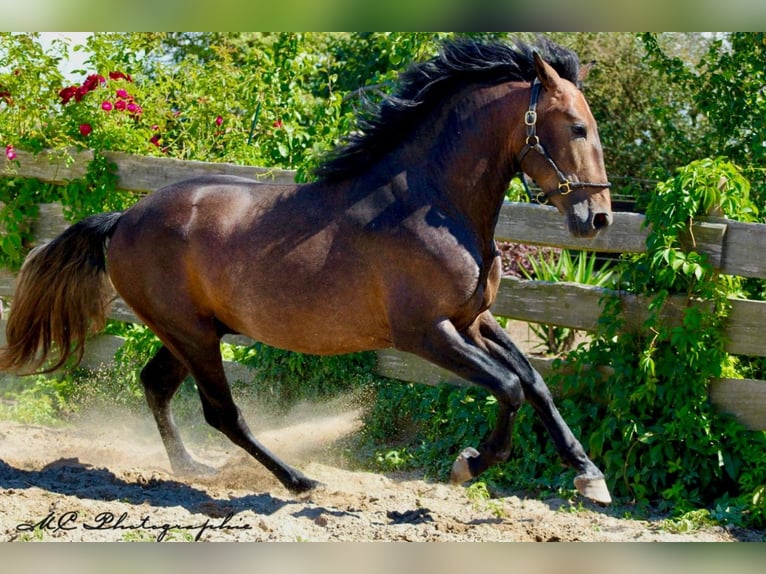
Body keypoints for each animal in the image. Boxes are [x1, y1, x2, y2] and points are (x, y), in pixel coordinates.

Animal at [0, 38, 612, 504]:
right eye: (576, 127)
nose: (598, 218)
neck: (428, 201)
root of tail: (122, 218)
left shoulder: (473, 320)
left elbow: (535, 383)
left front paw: (589, 476)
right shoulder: (425, 333)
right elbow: (508, 387)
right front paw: (471, 464)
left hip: (188, 333)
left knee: (156, 385)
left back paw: (193, 467)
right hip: (192, 334)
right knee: (222, 413)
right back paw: (298, 480)